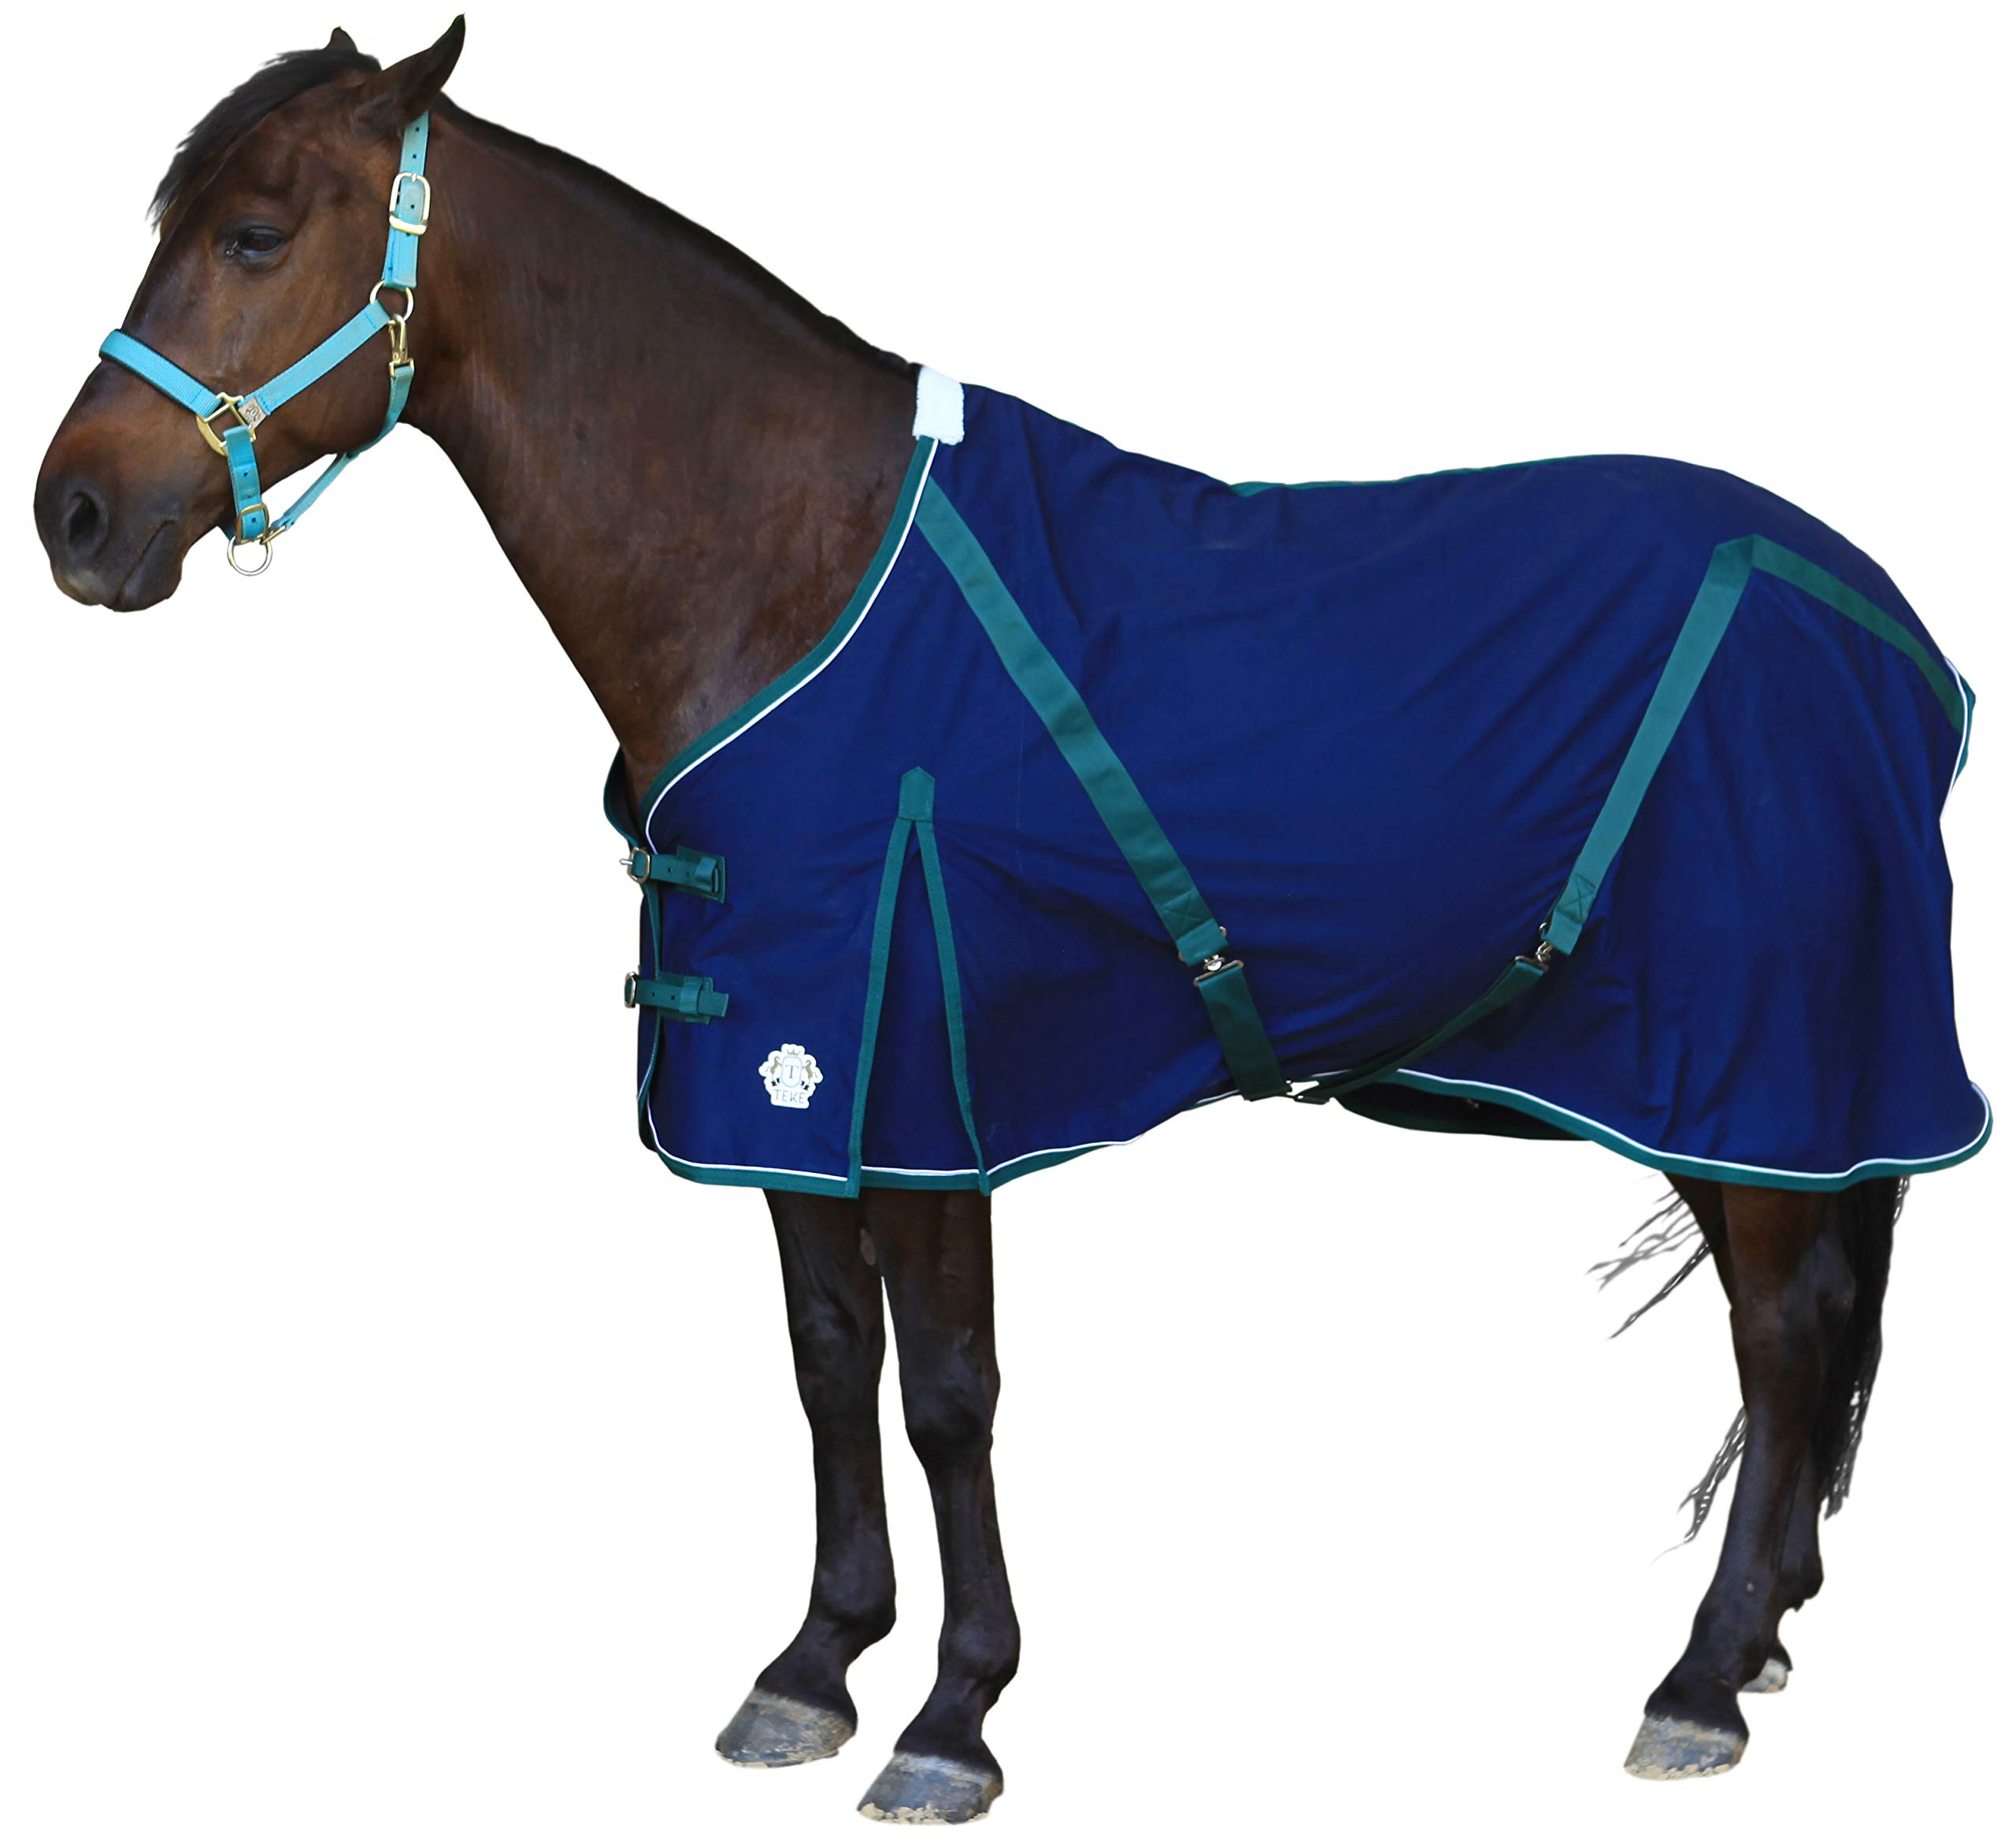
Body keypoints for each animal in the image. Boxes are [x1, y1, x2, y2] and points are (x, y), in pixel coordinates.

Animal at [34, 21, 1988, 1822]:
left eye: (256, 235)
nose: (74, 513)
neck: (791, 568)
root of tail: (1882, 622)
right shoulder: (789, 1081)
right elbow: (829, 1370)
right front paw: (812, 1666)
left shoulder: (921, 1087)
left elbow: (947, 1394)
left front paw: (951, 1715)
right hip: (1731, 1089)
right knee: (1801, 1332)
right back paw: (1767, 1626)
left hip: (1751, 1064)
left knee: (1783, 1332)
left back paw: (1700, 1681)